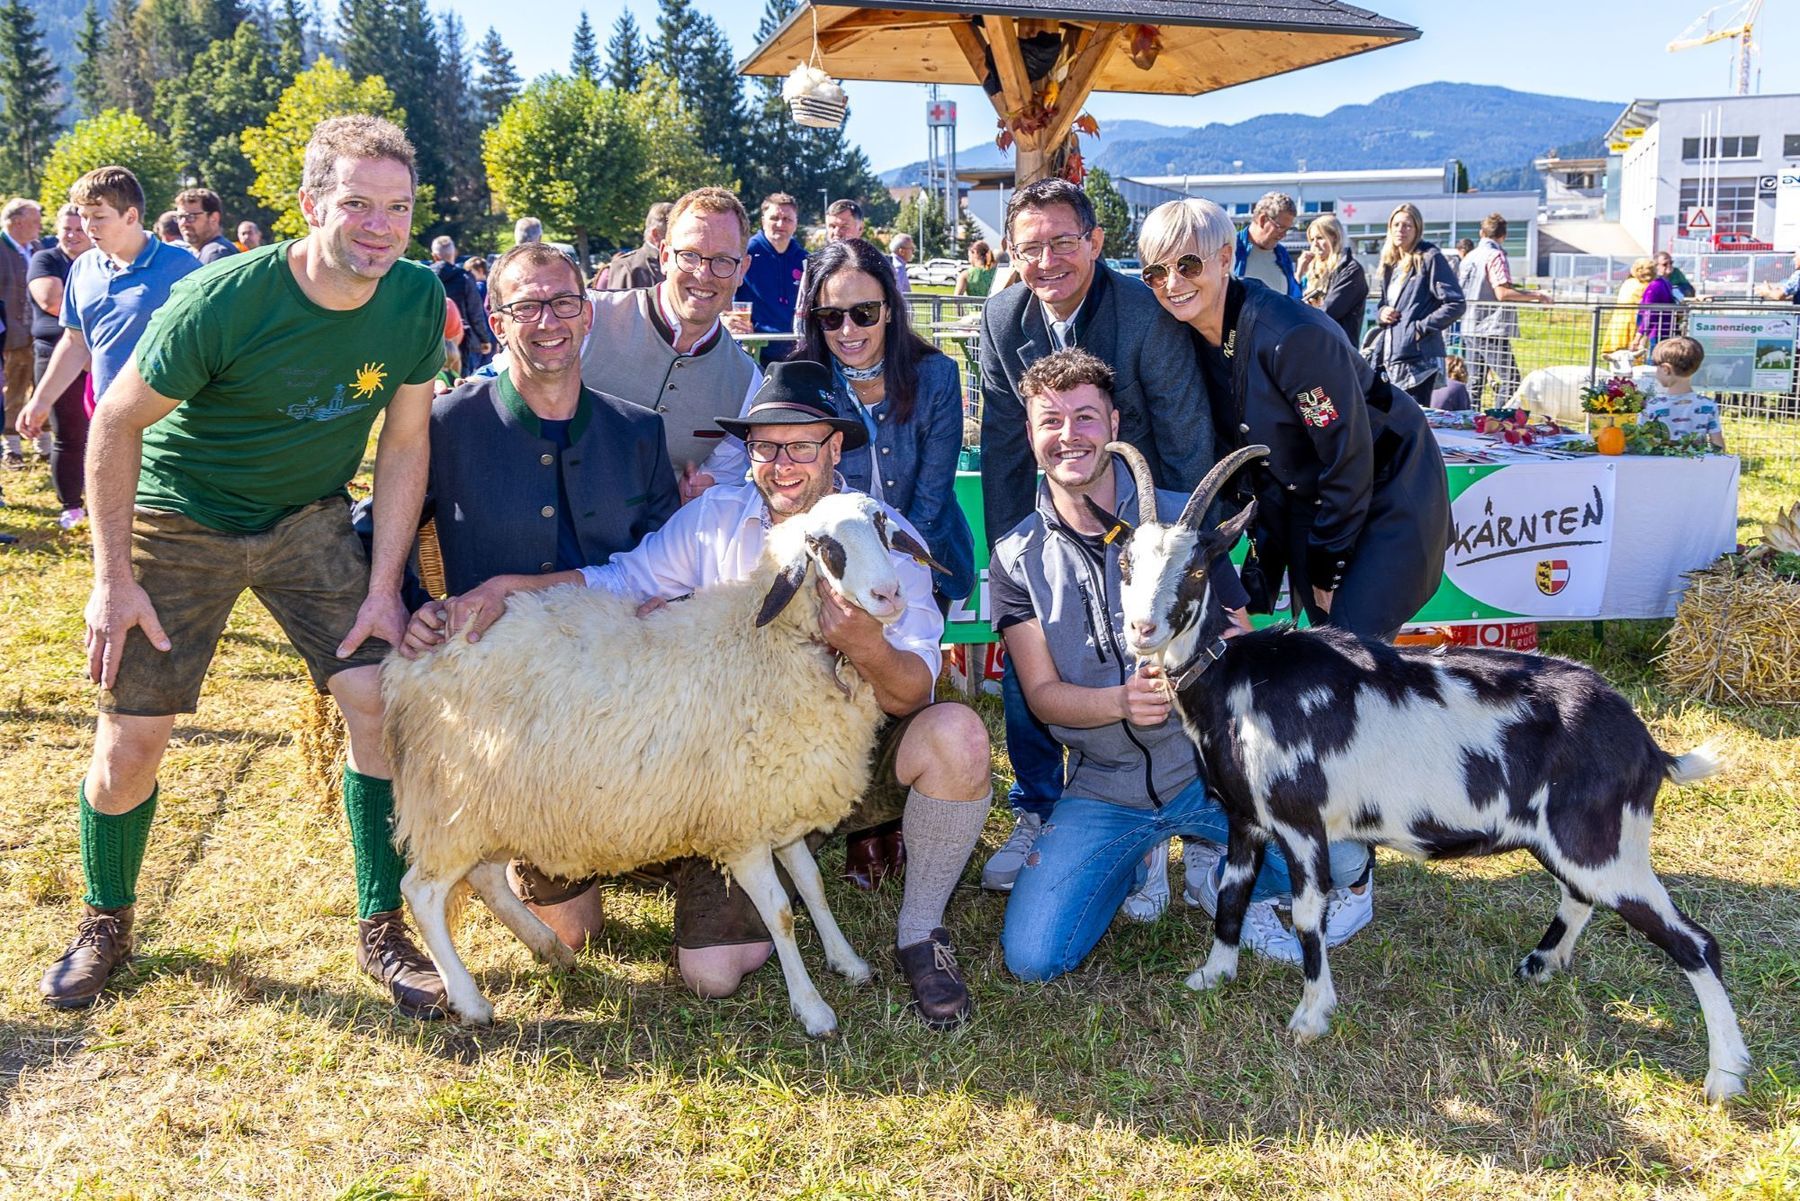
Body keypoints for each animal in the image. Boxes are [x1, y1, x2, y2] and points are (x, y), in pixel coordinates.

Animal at [1101, 439, 1749, 1101]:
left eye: (1196, 569)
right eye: (1124, 562)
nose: (1142, 630)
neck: (1238, 679)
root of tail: (1646, 744)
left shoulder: (1301, 822)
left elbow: (1308, 914)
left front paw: (1311, 1016)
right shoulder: (1244, 818)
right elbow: (1232, 892)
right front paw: (1213, 974)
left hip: (1603, 846)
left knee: (1696, 943)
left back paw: (1725, 1075)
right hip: (1573, 842)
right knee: (1579, 896)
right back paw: (1541, 964)